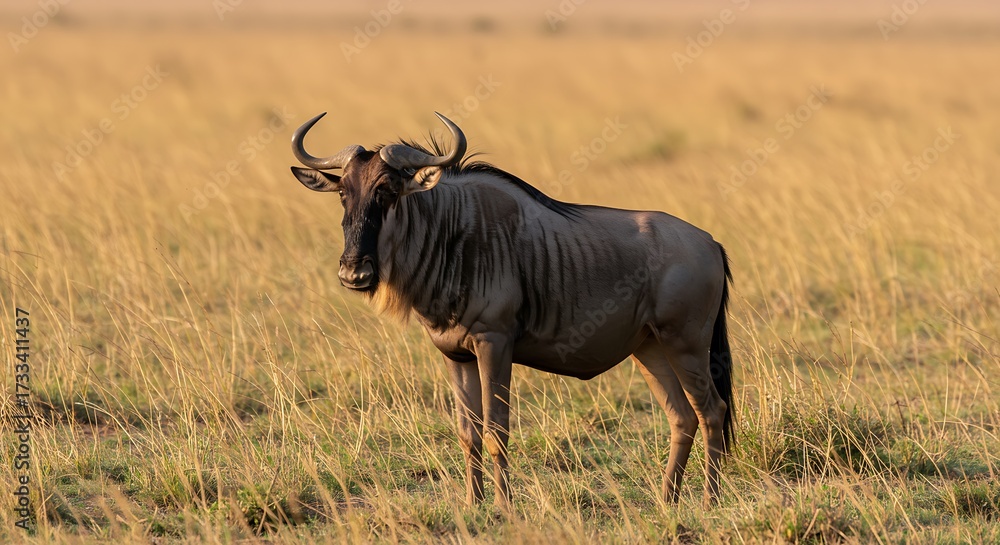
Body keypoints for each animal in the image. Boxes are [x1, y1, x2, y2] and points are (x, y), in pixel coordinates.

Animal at [290, 112, 734, 509]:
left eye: (387, 190)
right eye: (344, 193)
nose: (354, 272)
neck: (453, 236)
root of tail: (710, 242)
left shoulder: (495, 344)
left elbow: (496, 430)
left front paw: (505, 507)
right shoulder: (455, 355)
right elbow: (467, 433)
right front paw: (474, 504)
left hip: (686, 346)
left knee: (712, 411)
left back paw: (709, 501)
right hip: (650, 350)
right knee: (683, 417)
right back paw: (666, 500)